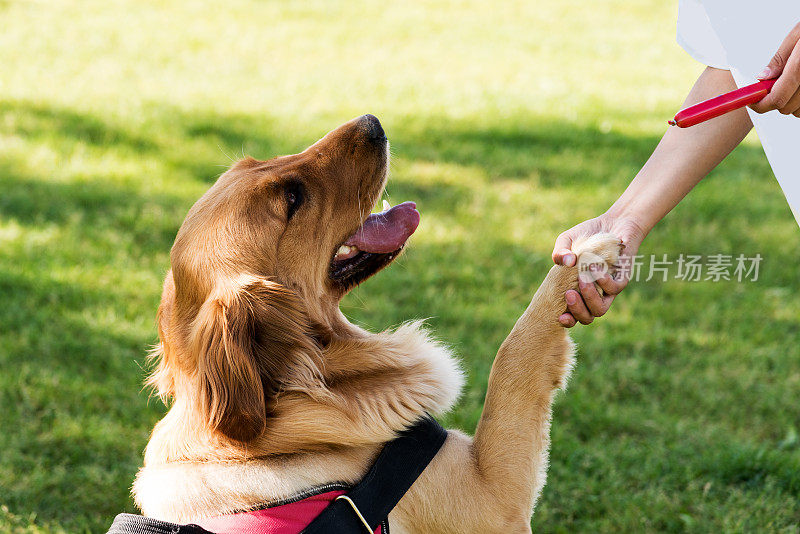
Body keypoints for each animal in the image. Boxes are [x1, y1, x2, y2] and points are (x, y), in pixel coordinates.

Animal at [131, 115, 620, 532]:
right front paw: (590, 253)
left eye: (253, 162)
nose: (373, 122)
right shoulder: (494, 497)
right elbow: (515, 354)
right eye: (292, 197)